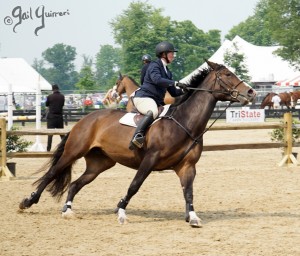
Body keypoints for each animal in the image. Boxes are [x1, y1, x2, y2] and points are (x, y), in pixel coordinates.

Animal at [18, 60, 255, 228]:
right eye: (227, 75)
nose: (251, 92)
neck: (184, 122)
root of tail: (86, 119)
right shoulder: (149, 160)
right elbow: (134, 185)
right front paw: (121, 212)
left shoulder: (187, 166)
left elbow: (188, 191)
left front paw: (193, 217)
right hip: (73, 152)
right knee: (51, 174)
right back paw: (27, 202)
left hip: (100, 163)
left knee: (76, 183)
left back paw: (67, 210)